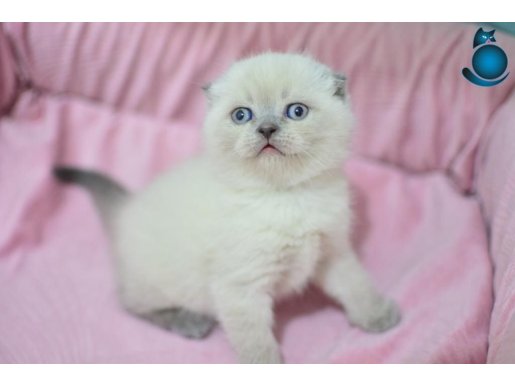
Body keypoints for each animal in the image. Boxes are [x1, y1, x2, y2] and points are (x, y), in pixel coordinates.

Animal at [56, 52, 404, 362]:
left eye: (296, 111)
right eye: (242, 115)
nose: (266, 129)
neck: (285, 197)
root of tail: (127, 206)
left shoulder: (332, 252)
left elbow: (356, 285)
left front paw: (379, 317)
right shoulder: (241, 287)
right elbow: (255, 342)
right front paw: (267, 366)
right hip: (155, 284)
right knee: (132, 305)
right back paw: (189, 322)